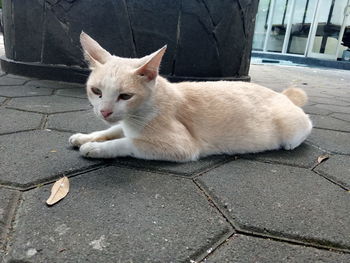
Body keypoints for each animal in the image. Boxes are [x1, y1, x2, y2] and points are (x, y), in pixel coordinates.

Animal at [68, 32, 312, 162]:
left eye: (125, 96)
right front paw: (85, 137)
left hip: (292, 127)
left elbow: (127, 142)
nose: (104, 111)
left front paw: (96, 148)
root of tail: (282, 95)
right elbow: (112, 130)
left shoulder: (181, 146)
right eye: (96, 91)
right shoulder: (123, 123)